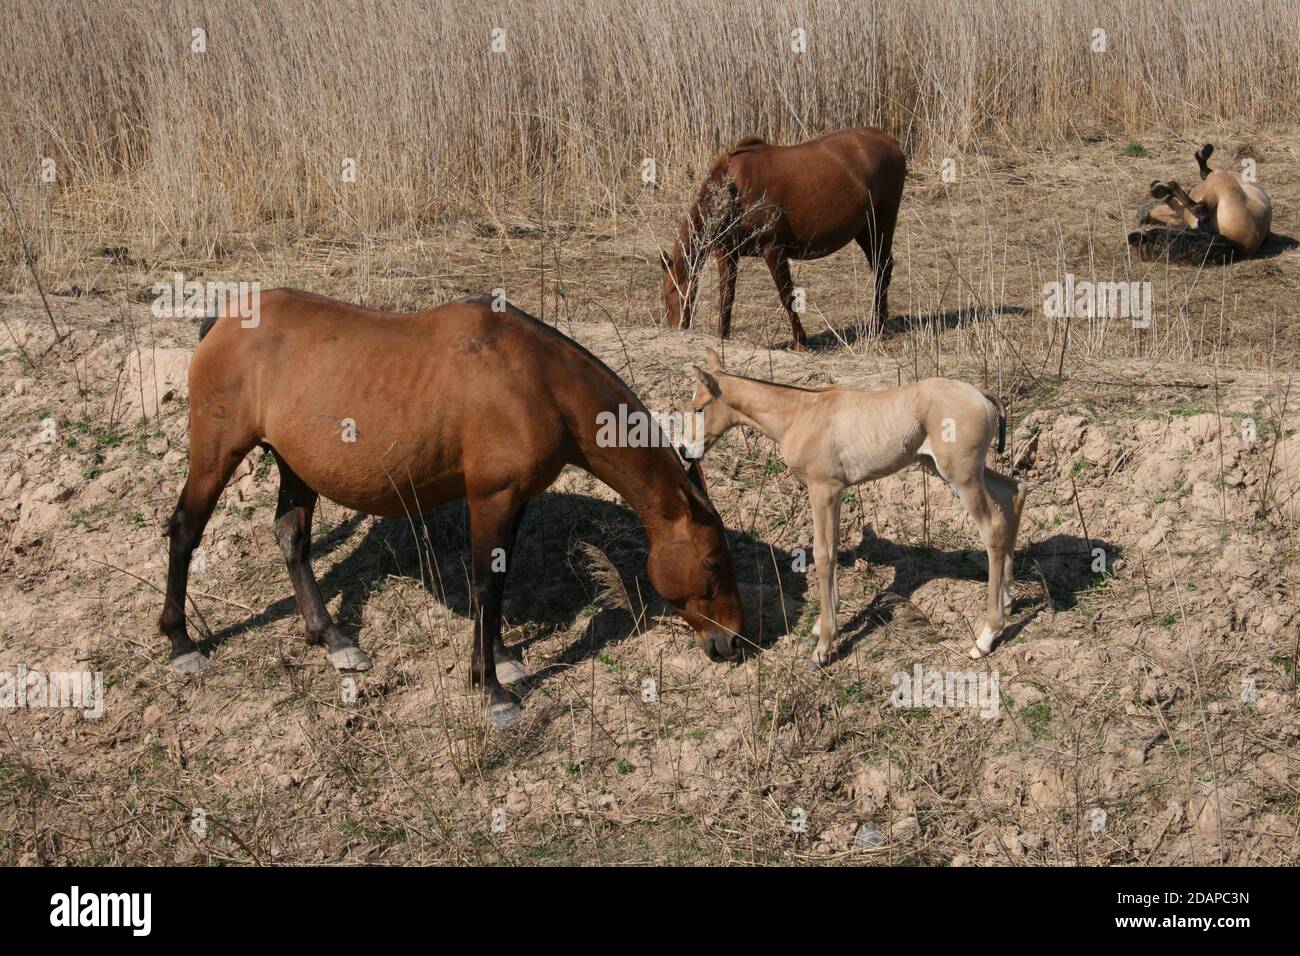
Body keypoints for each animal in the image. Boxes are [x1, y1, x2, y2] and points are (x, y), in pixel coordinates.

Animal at [161, 287, 748, 728]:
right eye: (714, 562)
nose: (732, 641)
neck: (538, 381)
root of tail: (224, 320)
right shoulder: (491, 496)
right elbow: (486, 585)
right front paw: (491, 689)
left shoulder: (516, 500)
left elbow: (499, 581)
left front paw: (503, 660)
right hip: (217, 453)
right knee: (185, 531)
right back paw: (182, 643)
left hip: (295, 466)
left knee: (293, 540)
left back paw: (331, 638)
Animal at [660, 127, 904, 351]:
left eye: (673, 292)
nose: (675, 330)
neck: (733, 190)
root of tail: (891, 142)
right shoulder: (727, 253)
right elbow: (726, 296)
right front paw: (723, 337)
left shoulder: (773, 249)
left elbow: (787, 296)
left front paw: (800, 342)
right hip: (864, 230)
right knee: (880, 269)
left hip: (881, 224)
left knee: (882, 269)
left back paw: (878, 325)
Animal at [681, 348, 1024, 665]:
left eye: (698, 408)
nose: (685, 450)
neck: (799, 414)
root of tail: (980, 394)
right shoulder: (833, 492)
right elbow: (832, 549)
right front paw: (823, 627)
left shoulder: (824, 489)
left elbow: (823, 554)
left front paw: (823, 647)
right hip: (948, 468)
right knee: (1014, 492)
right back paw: (1007, 598)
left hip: (961, 475)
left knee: (993, 528)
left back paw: (987, 637)